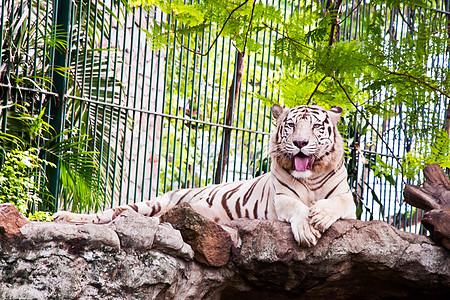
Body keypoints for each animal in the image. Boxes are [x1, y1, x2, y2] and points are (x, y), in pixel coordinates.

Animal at [53, 105, 356, 246]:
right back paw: (63, 217)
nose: (301, 143)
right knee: (107, 215)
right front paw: (306, 228)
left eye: (316, 127)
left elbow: (335, 204)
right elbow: (297, 208)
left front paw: (320, 216)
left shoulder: (347, 200)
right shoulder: (282, 198)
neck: (310, 178)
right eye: (291, 126)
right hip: (150, 203)